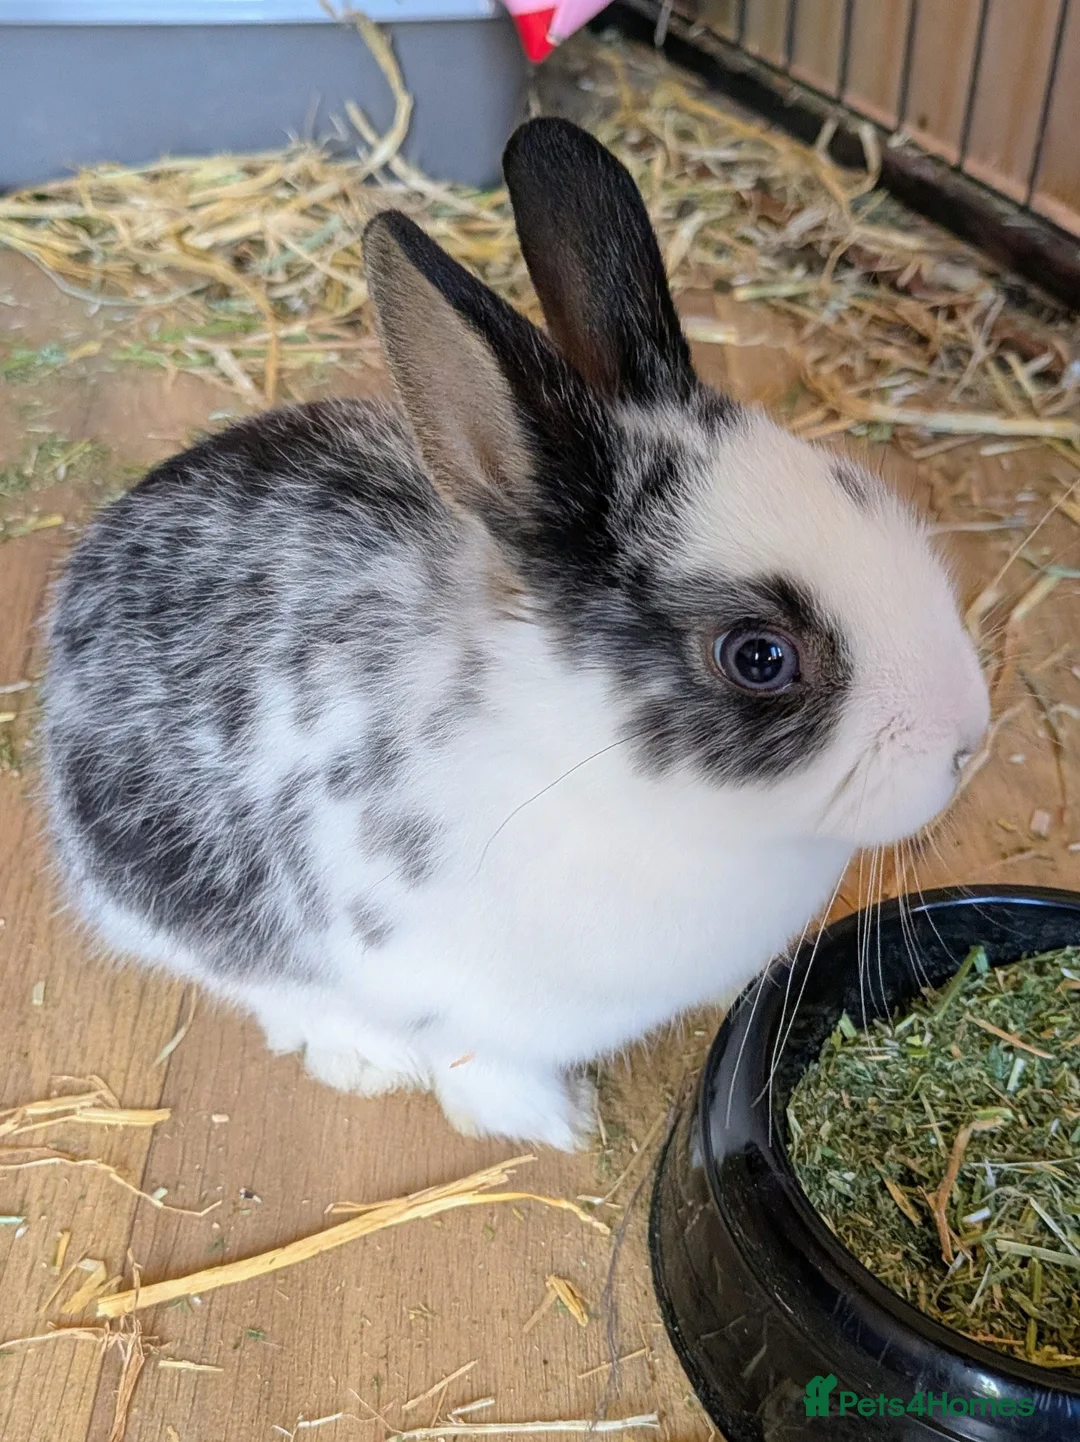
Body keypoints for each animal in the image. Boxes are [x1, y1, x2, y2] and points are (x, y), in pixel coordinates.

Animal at [40, 118, 989, 1150]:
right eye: (760, 656)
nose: (967, 743)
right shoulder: (460, 997)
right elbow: (481, 1062)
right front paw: (552, 1124)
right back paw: (359, 1056)